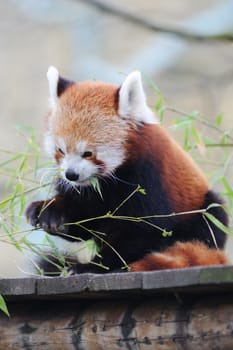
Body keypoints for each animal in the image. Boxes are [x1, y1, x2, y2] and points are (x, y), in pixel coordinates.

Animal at [26, 66, 229, 274]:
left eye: (88, 153)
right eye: (61, 150)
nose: (71, 175)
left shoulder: (148, 175)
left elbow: (145, 230)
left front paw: (94, 266)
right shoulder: (88, 191)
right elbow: (83, 221)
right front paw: (49, 212)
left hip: (204, 209)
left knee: (211, 219)